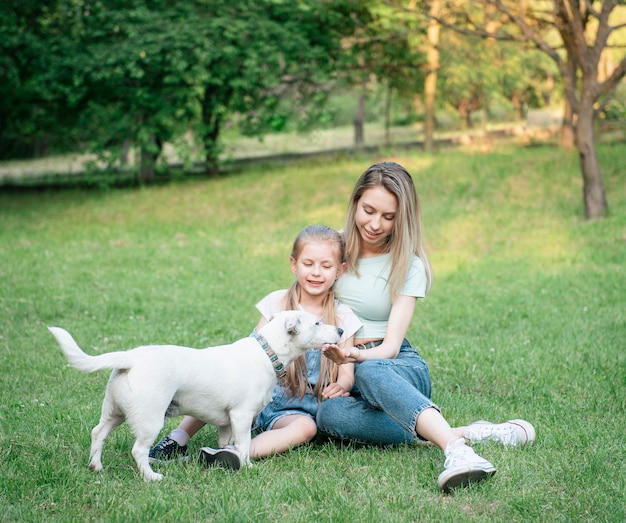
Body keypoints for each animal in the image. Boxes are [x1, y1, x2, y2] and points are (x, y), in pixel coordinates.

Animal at [48, 312, 342, 484]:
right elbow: (245, 445)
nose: (340, 332)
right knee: (138, 450)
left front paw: (226, 460)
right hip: (150, 419)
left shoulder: (226, 423)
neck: (266, 352)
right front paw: (247, 467)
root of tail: (130, 357)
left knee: (98, 433)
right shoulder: (241, 416)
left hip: (115, 412)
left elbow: (228, 444)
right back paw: (151, 476)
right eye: (317, 323)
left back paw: (96, 466)